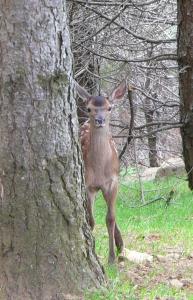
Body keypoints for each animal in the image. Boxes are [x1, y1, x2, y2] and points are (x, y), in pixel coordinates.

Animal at [76, 80, 127, 262]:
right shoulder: (87, 185)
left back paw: (120, 246)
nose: (99, 120)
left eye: (109, 107)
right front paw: (93, 249)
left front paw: (112, 258)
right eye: (89, 108)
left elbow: (110, 218)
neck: (99, 170)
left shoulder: (113, 182)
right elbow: (90, 220)